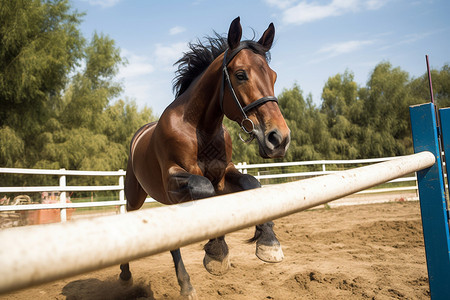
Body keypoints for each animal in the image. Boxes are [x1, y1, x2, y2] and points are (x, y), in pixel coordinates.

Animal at [118, 17, 290, 298]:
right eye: (240, 75)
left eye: (273, 76)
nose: (279, 139)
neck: (202, 130)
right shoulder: (176, 179)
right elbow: (204, 190)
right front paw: (217, 255)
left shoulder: (224, 175)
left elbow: (252, 184)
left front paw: (268, 243)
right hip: (135, 196)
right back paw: (128, 275)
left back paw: (185, 284)